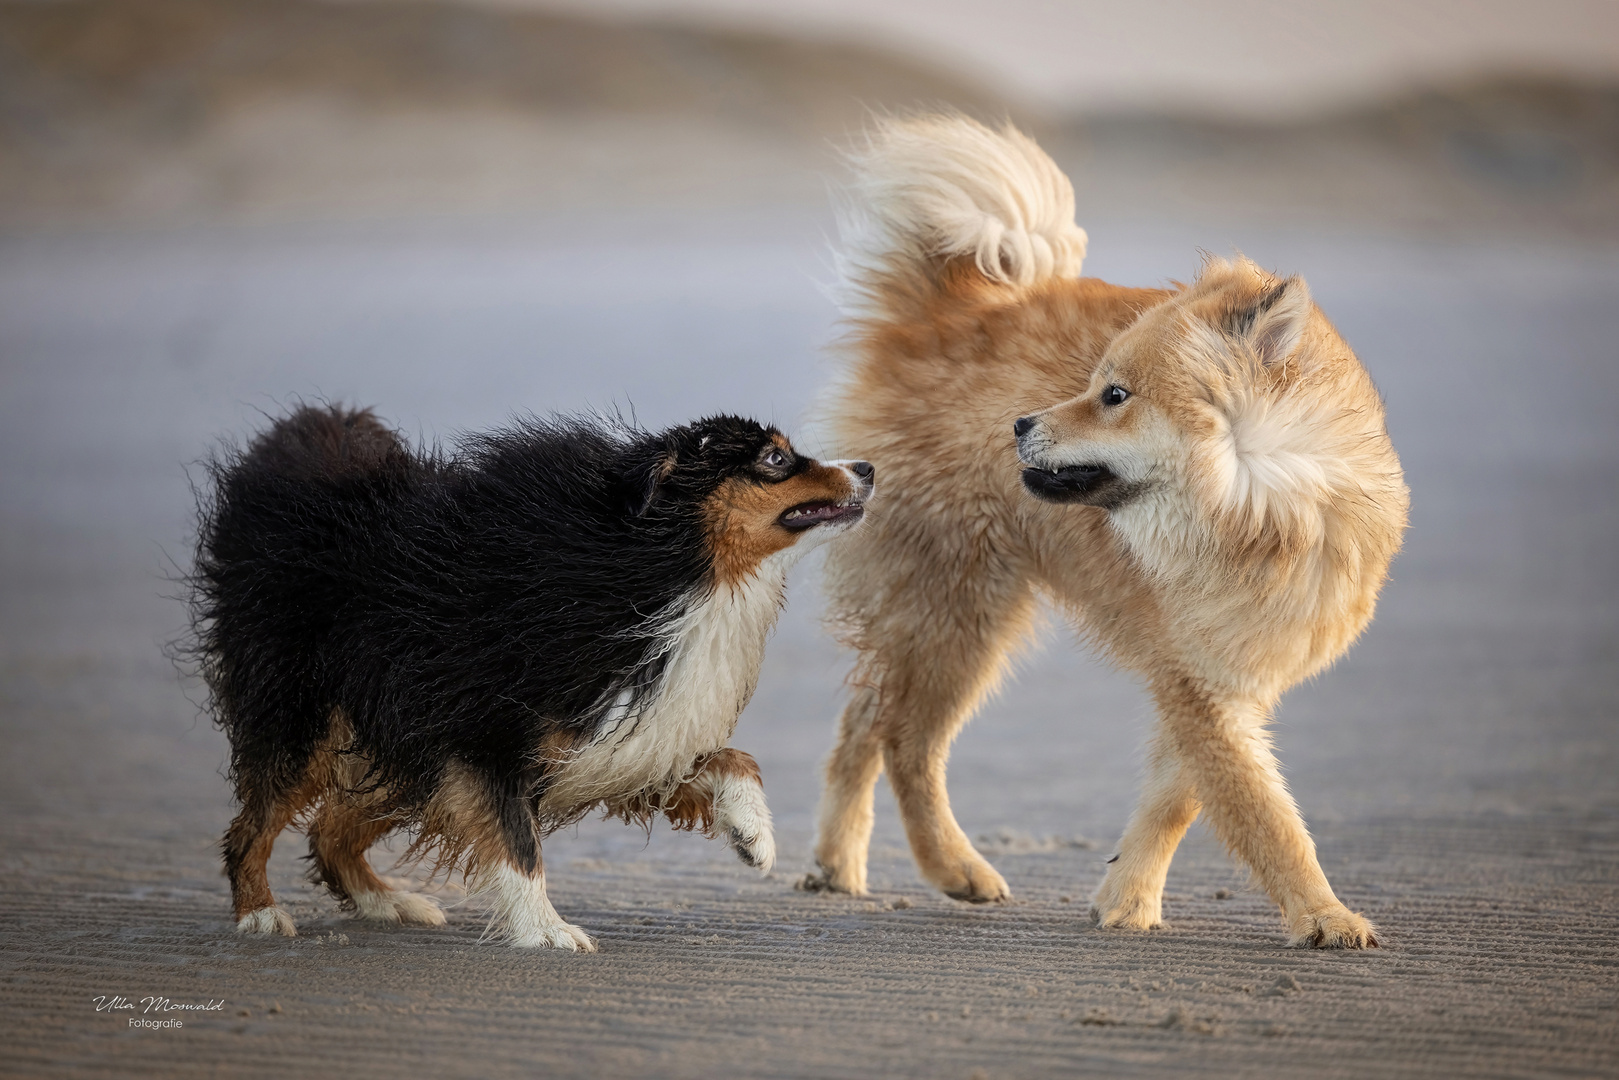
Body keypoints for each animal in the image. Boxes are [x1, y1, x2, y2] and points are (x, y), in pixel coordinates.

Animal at [806, 114, 1405, 952]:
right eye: (1093, 384)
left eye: (1113, 395)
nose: (1019, 423)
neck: (1272, 518)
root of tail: (946, 308)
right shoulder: (1198, 682)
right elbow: (1266, 818)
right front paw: (1323, 915)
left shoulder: (1222, 677)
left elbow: (1178, 798)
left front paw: (1126, 897)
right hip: (960, 612)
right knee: (906, 742)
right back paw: (952, 867)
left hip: (934, 615)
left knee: (865, 717)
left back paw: (837, 861)